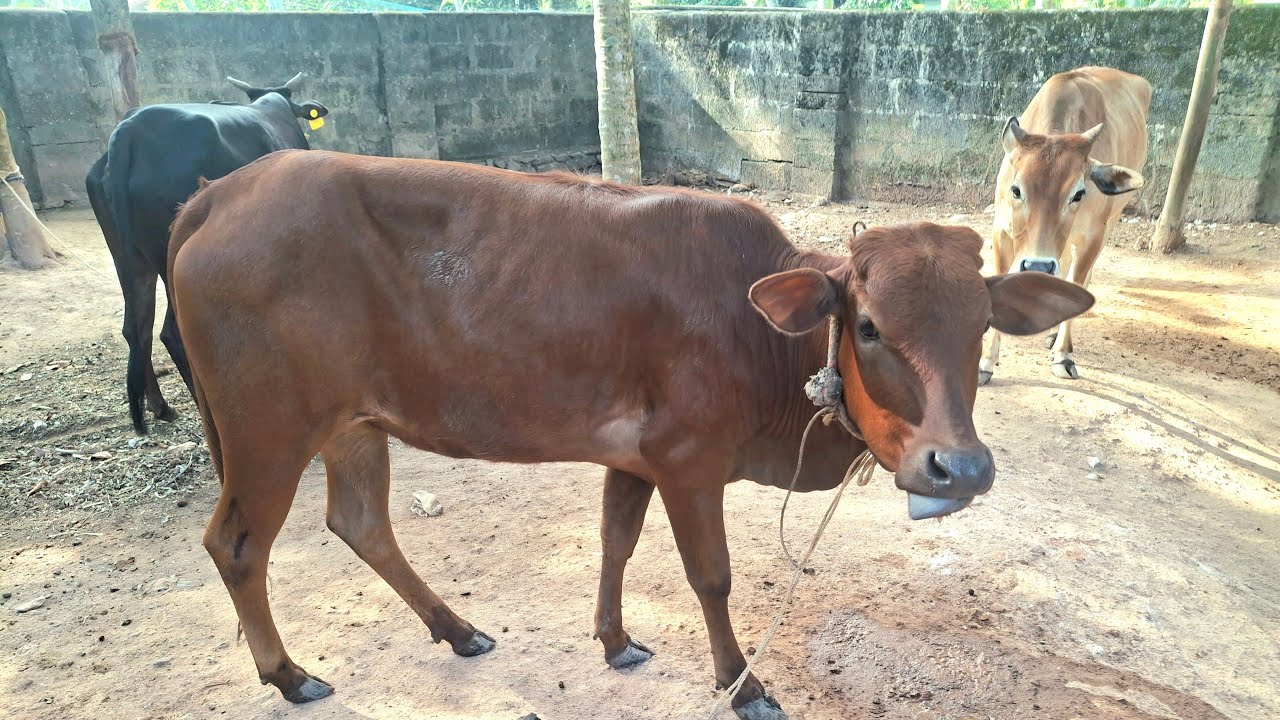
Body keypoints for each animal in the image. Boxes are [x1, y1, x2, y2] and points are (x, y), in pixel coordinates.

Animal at [167, 150, 1093, 719]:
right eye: (866, 326)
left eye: (982, 326)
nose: (958, 468)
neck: (756, 330)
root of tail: (223, 190)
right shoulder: (689, 461)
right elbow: (711, 577)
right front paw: (742, 683)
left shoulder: (635, 458)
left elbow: (615, 540)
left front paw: (614, 641)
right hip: (267, 430)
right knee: (237, 545)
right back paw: (287, 675)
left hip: (352, 423)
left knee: (360, 522)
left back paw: (458, 630)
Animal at [980, 66, 1149, 385]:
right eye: (1016, 189)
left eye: (1078, 193)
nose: (1037, 265)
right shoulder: (1002, 230)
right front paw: (985, 363)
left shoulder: (1093, 237)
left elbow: (1077, 282)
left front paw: (1064, 355)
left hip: (1109, 224)